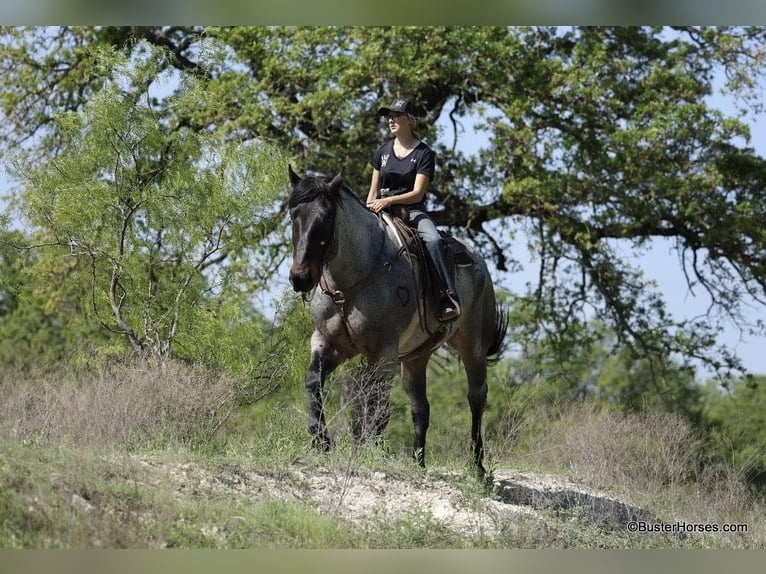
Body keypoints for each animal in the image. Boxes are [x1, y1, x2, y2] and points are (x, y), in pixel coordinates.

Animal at [284, 165, 508, 476]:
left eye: (326, 217)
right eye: (293, 214)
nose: (300, 277)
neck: (352, 282)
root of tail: (477, 260)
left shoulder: (384, 353)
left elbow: (377, 404)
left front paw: (370, 451)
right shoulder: (328, 343)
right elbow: (314, 380)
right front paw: (321, 439)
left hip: (472, 347)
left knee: (476, 398)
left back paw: (478, 467)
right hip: (416, 357)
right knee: (420, 408)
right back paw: (419, 462)